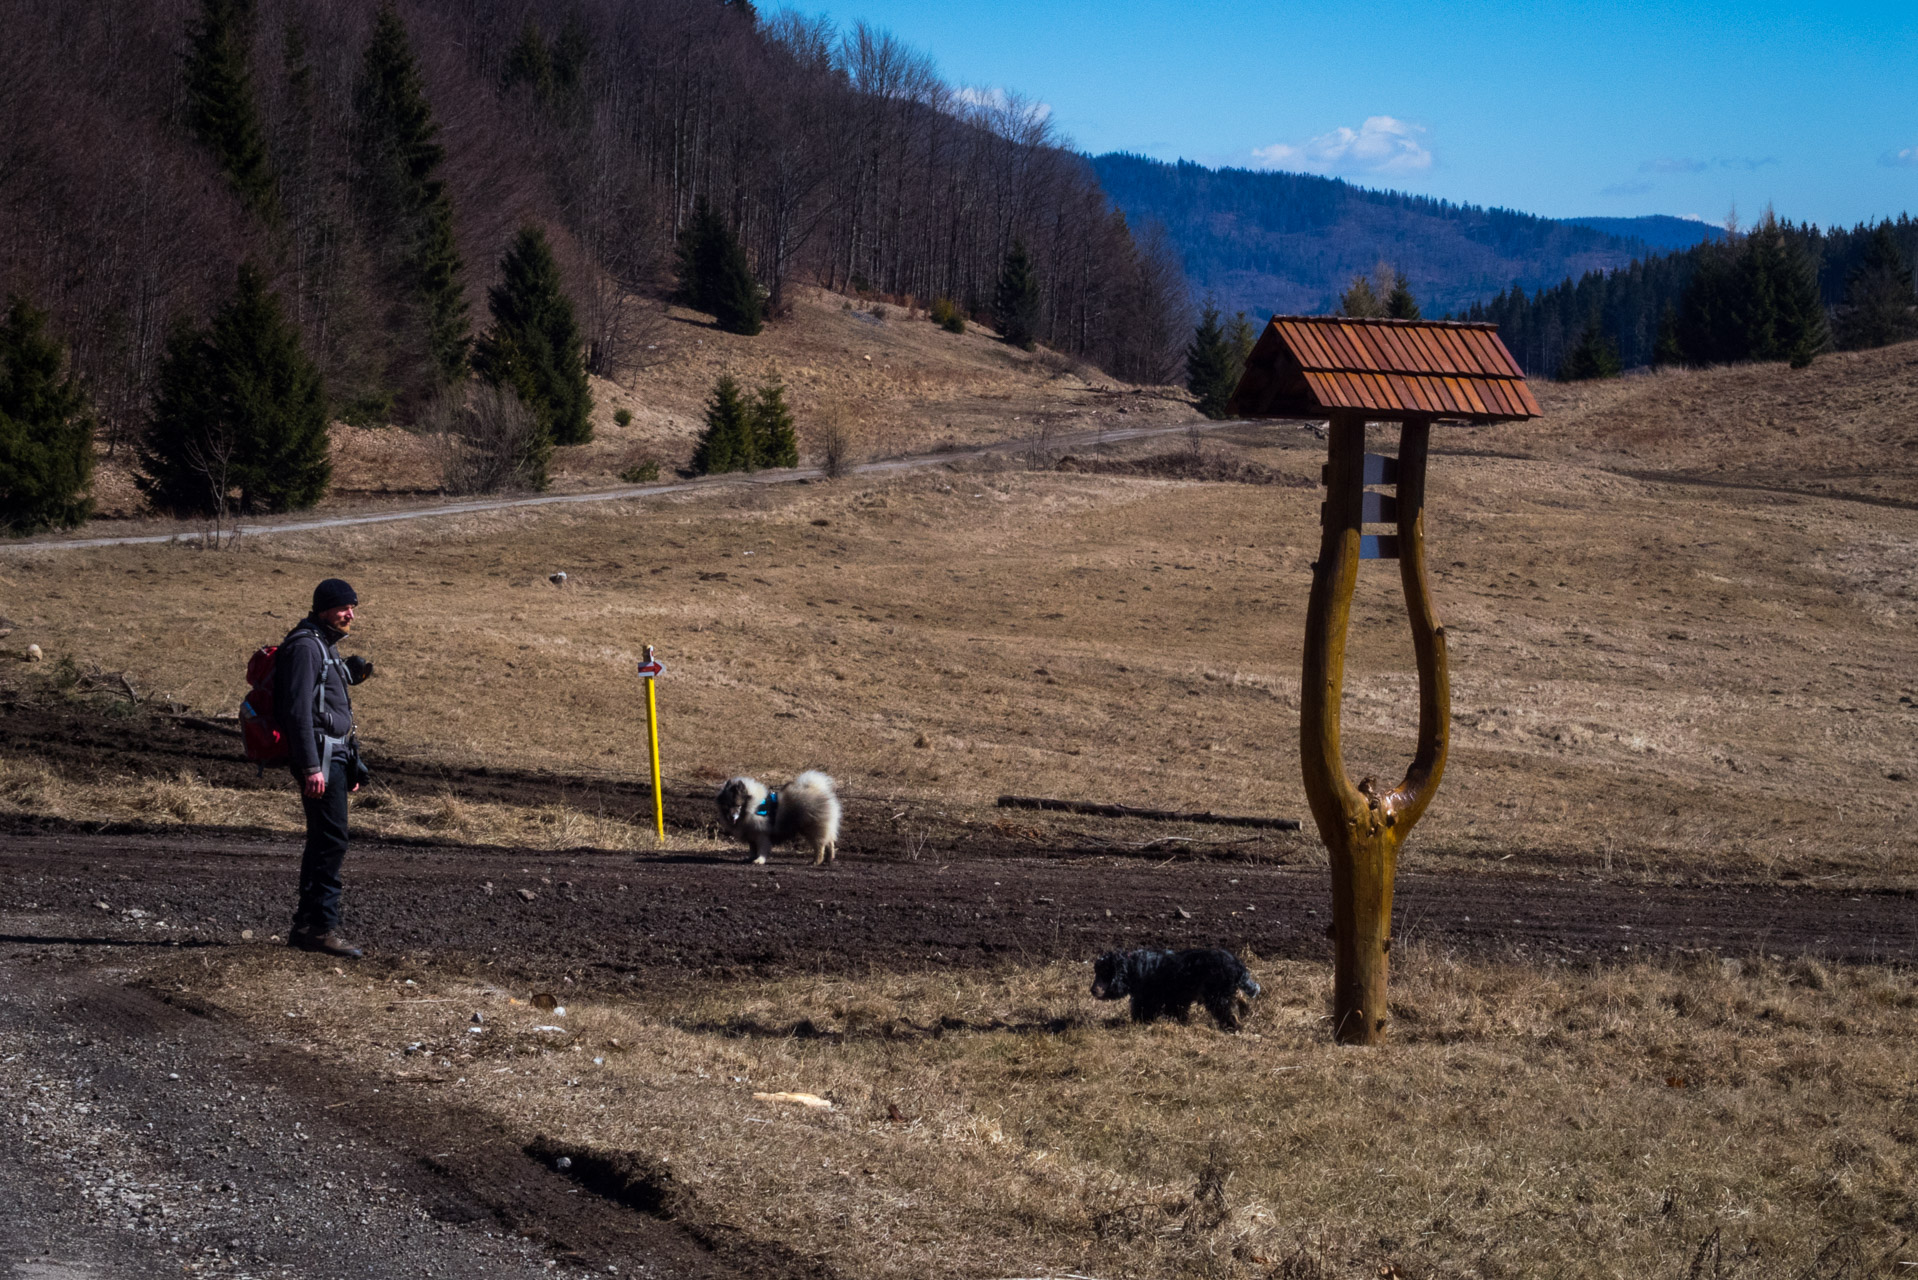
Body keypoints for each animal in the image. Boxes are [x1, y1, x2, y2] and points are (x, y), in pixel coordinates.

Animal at [1089, 951, 1265, 1028]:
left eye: (1104, 973)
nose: (1092, 990)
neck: (1134, 968)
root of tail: (1238, 965)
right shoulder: (1175, 1000)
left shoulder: (1149, 998)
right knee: (1239, 1001)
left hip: (1217, 996)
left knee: (1228, 1011)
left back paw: (1231, 1026)